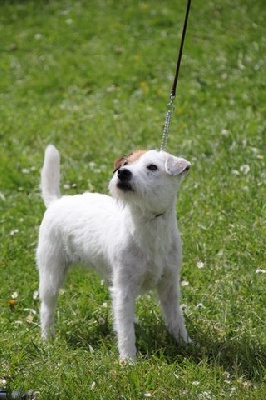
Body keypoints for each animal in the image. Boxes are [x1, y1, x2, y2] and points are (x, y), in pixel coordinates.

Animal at [37, 144, 191, 360]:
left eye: (152, 167)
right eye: (125, 164)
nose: (123, 173)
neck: (148, 223)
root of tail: (56, 202)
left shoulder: (169, 286)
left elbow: (176, 318)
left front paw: (186, 343)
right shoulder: (124, 289)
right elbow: (126, 329)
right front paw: (128, 360)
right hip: (51, 273)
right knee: (47, 308)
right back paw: (47, 338)